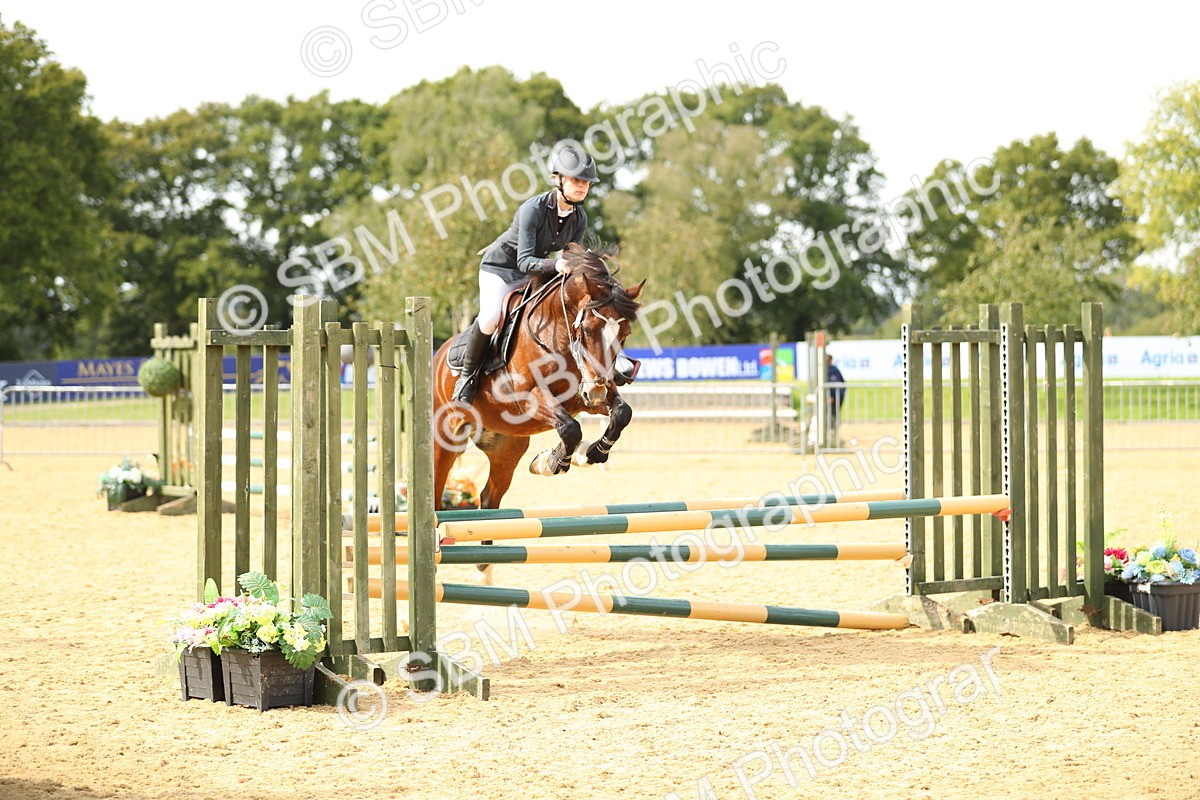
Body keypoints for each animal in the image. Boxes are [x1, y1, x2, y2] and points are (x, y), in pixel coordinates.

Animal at [431, 243, 645, 583]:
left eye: (624, 333)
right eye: (587, 330)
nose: (599, 388)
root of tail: (439, 356)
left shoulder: (583, 394)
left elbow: (620, 413)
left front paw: (588, 454)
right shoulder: (529, 398)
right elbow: (570, 428)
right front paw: (553, 461)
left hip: (507, 447)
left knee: (489, 499)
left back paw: (485, 570)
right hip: (445, 440)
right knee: (437, 494)